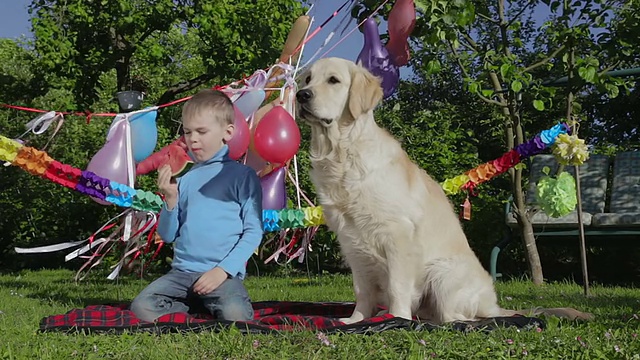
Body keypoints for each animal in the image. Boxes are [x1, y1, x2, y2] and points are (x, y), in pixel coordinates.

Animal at [294, 57, 592, 324]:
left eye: (333, 80)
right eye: (307, 79)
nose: (301, 95)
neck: (342, 154)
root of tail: (494, 306)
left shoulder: (398, 235)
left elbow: (397, 286)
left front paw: (396, 318)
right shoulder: (352, 242)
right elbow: (362, 290)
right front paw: (355, 319)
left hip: (441, 274)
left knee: (461, 318)